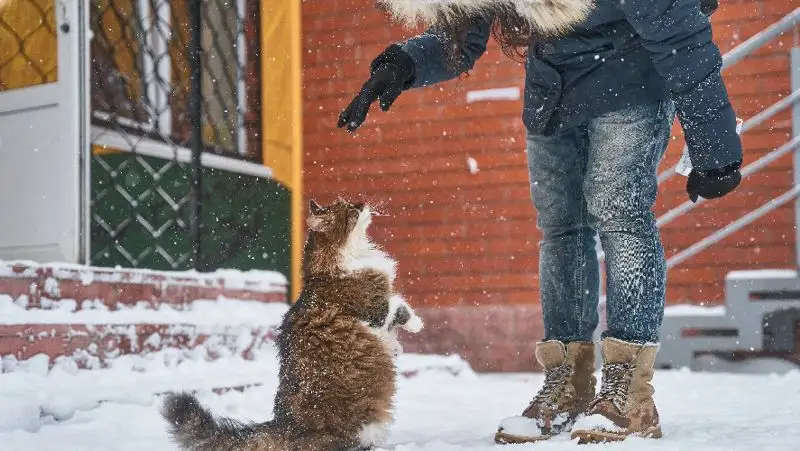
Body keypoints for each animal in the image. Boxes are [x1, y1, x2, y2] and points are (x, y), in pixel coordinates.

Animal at [162, 199, 424, 451]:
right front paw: (416, 325)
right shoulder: (376, 310)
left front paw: (398, 345)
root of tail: (285, 425)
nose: (362, 203)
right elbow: (399, 307)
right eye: (350, 209)